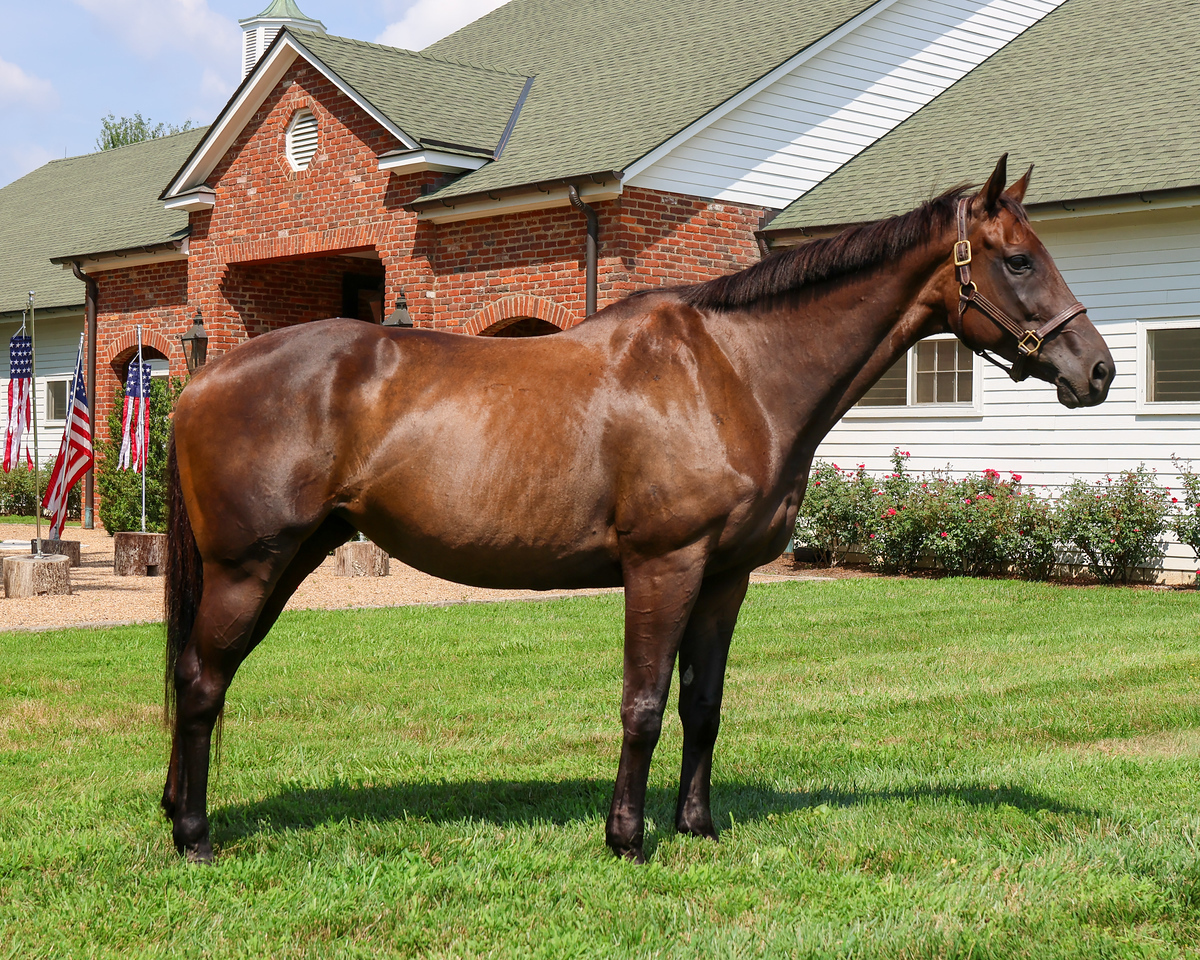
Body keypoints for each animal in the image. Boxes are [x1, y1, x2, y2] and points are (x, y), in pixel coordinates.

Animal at [161, 156, 1114, 863]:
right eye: (1019, 260)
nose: (1096, 370)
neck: (731, 374)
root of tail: (202, 378)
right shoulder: (665, 564)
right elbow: (644, 702)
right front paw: (626, 837)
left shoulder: (727, 577)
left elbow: (703, 704)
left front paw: (697, 826)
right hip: (251, 566)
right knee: (204, 682)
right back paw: (196, 836)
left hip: (285, 560)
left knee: (194, 677)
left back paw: (176, 810)